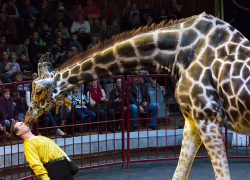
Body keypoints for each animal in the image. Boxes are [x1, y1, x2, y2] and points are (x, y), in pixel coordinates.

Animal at [23, 11, 250, 179]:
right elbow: (179, 174)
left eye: (39, 91)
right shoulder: (192, 120)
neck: (177, 55)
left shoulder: (207, 116)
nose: (27, 118)